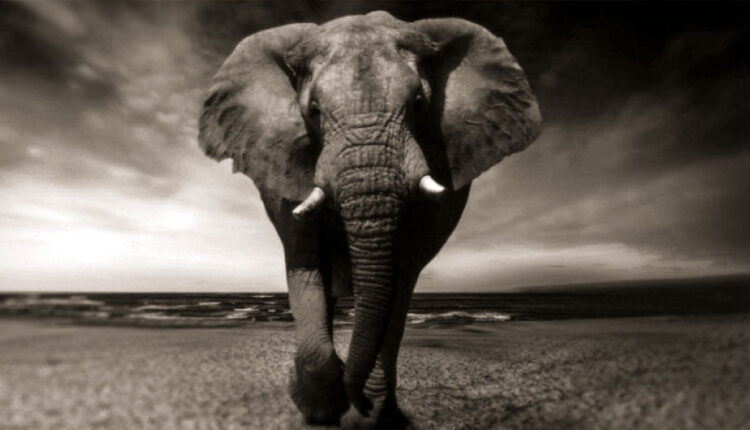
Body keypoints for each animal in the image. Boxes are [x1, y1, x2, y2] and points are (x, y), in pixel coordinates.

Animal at [198, 11, 541, 427]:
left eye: (420, 104)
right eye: (313, 111)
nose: (357, 399)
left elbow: (400, 275)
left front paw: (367, 415)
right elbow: (305, 262)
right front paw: (321, 408)